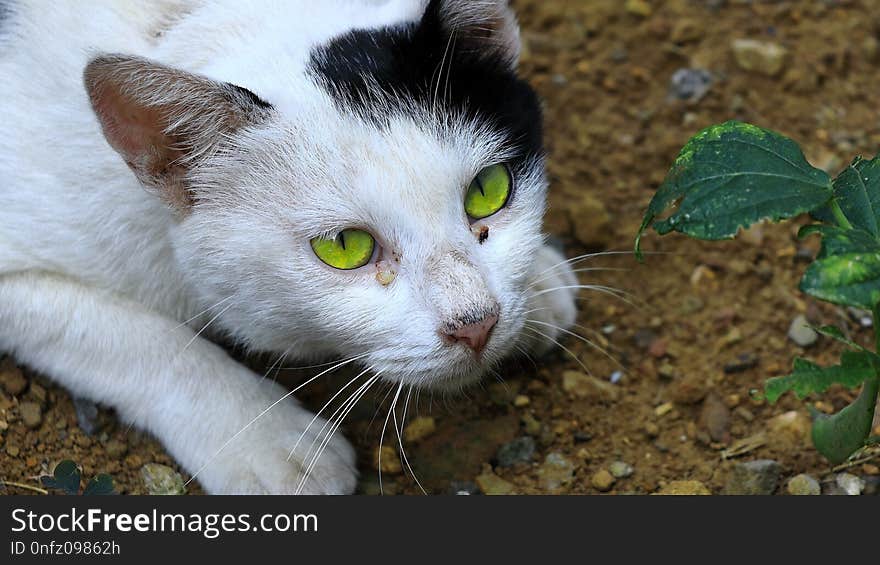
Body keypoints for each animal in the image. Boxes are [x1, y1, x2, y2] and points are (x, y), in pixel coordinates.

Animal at [0, 0, 580, 494]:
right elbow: (145, 341)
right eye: (344, 246)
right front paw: (267, 440)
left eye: (489, 191)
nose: (477, 324)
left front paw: (540, 282)